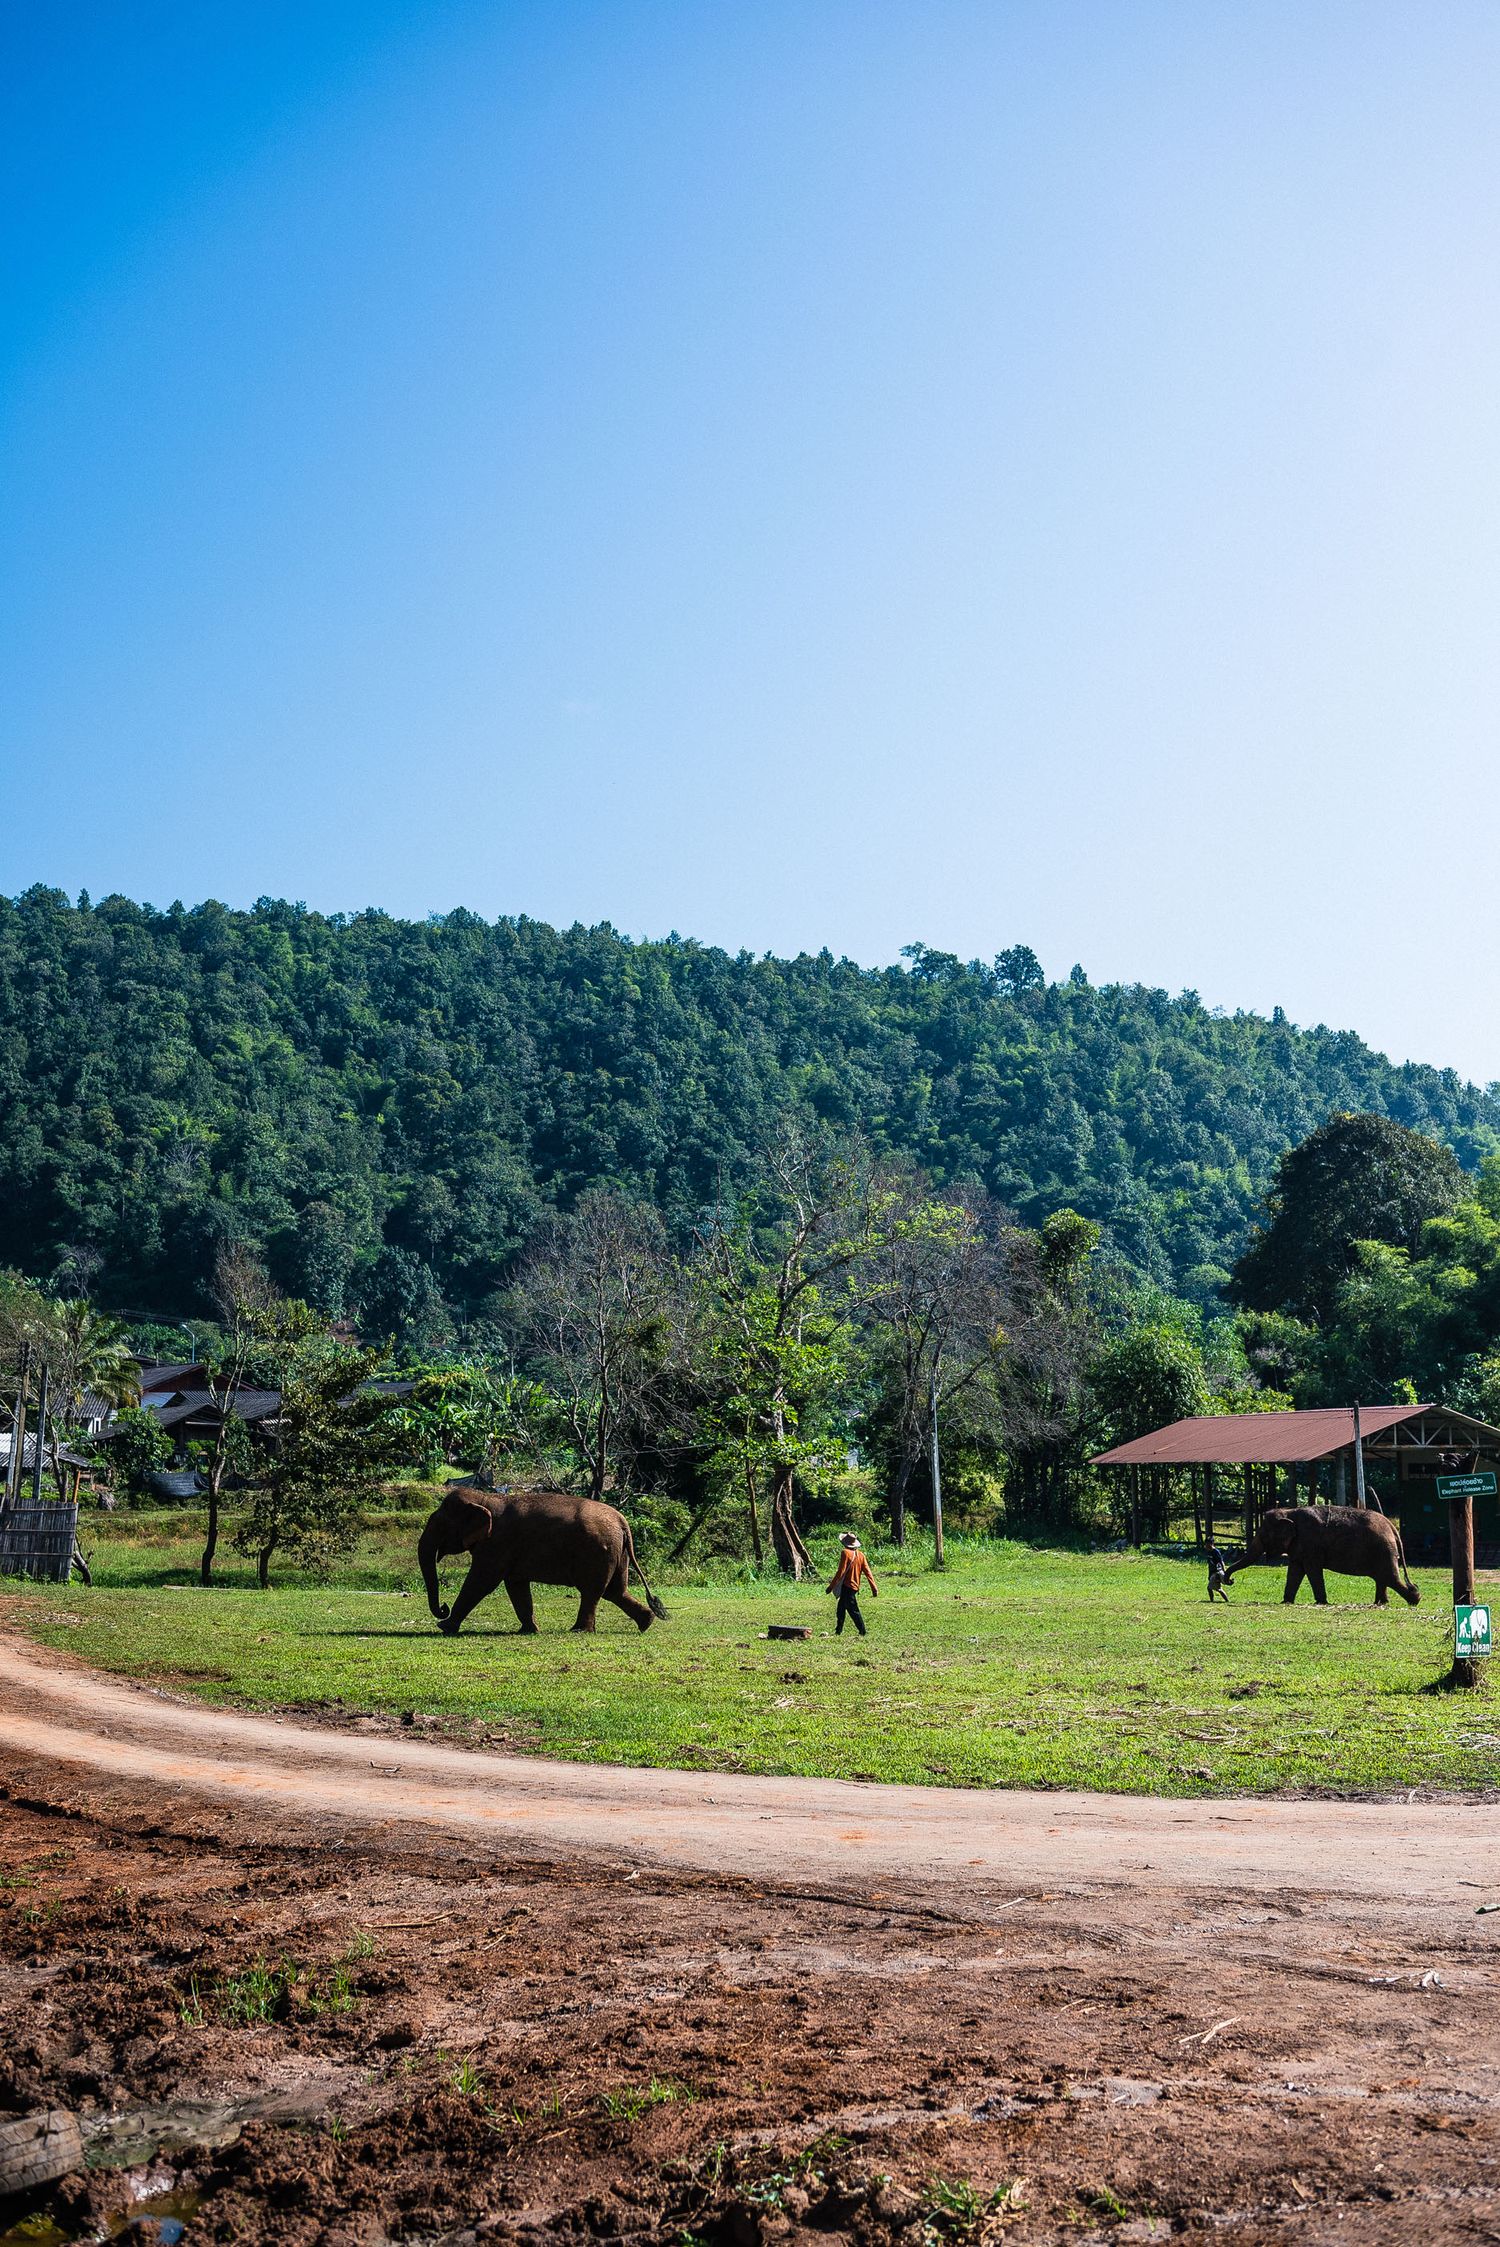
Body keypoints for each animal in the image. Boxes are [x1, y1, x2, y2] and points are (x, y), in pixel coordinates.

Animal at [417, 1483, 667, 1636]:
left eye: (440, 1525)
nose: (443, 1608)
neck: (485, 1498)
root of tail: (622, 1521)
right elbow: (516, 1586)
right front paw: (529, 1630)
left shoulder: (497, 1544)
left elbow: (481, 1582)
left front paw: (445, 1627)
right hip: (616, 1553)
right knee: (615, 1591)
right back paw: (647, 1622)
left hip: (598, 1552)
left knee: (593, 1591)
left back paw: (579, 1631)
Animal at [1223, 1505, 1419, 1607]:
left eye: (1263, 1535)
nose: (1230, 1580)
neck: (1289, 1511)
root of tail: (1391, 1526)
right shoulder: (1299, 1546)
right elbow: (1295, 1570)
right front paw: (1286, 1601)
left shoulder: (1310, 1544)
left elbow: (1312, 1569)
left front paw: (1322, 1603)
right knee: (1382, 1578)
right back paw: (1380, 1603)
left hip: (1383, 1551)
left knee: (1390, 1577)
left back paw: (1414, 1600)